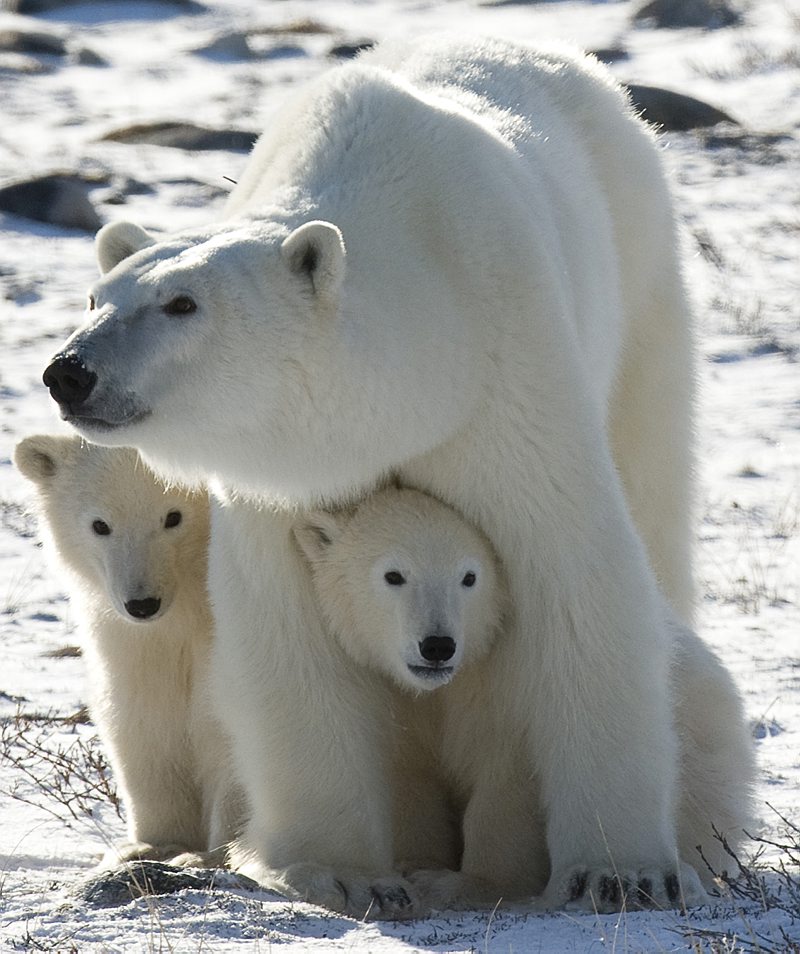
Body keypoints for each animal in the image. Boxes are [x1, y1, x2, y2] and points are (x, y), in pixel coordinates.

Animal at [14, 436, 239, 868]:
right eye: (100, 525)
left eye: (173, 517)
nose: (142, 604)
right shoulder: (131, 640)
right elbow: (143, 716)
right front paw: (152, 845)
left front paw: (211, 856)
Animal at [40, 37, 752, 916]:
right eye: (95, 295)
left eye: (182, 304)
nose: (69, 372)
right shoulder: (283, 484)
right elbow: (283, 630)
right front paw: (341, 870)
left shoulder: (506, 380)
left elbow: (579, 575)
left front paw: (617, 873)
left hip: (640, 279)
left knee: (652, 484)